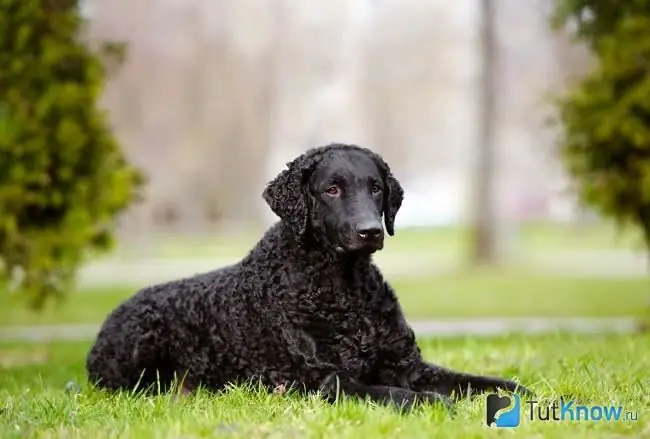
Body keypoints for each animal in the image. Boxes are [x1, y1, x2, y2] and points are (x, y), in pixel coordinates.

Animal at [86, 144, 528, 410]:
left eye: (376, 188)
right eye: (332, 189)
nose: (371, 231)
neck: (346, 290)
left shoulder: (411, 367)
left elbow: (483, 382)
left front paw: (524, 392)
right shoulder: (325, 380)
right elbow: (397, 393)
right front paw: (437, 404)